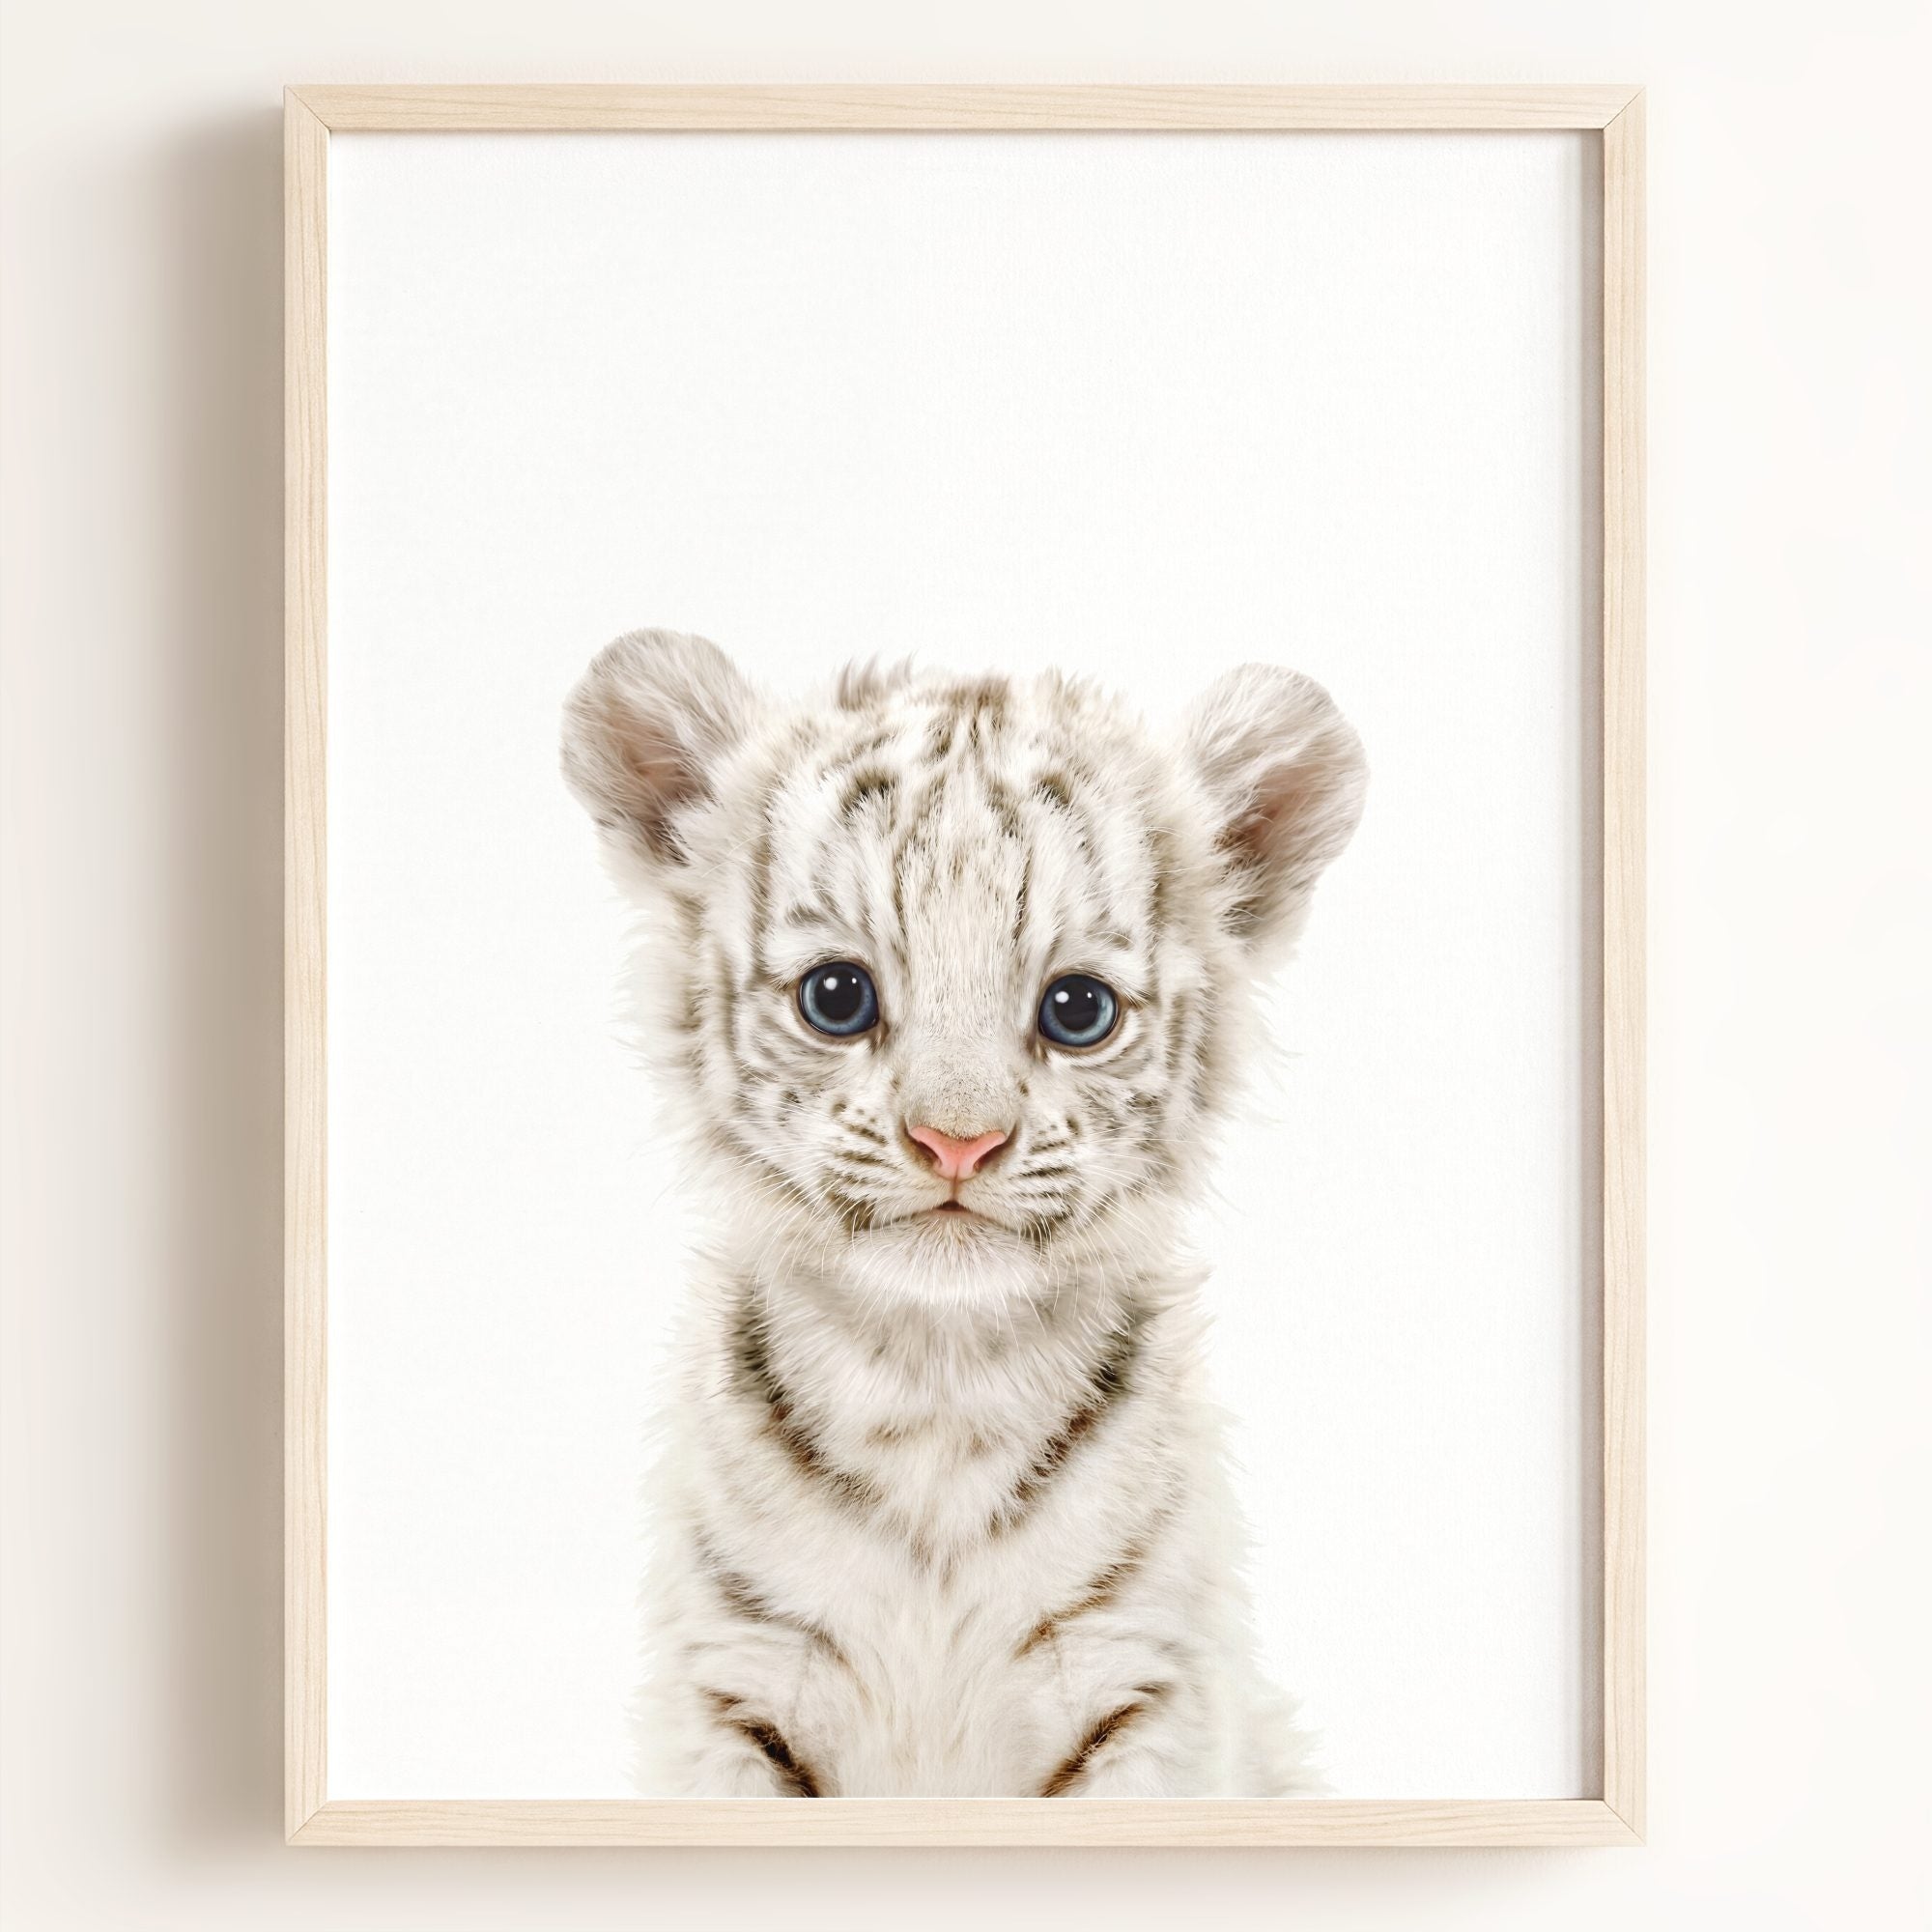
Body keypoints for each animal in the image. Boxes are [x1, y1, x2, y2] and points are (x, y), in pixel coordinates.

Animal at [561, 628, 1366, 1798]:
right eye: (836, 996)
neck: (935, 1385)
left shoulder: (1144, 1686)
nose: (957, 1141)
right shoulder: (733, 1685)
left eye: (1077, 1010)